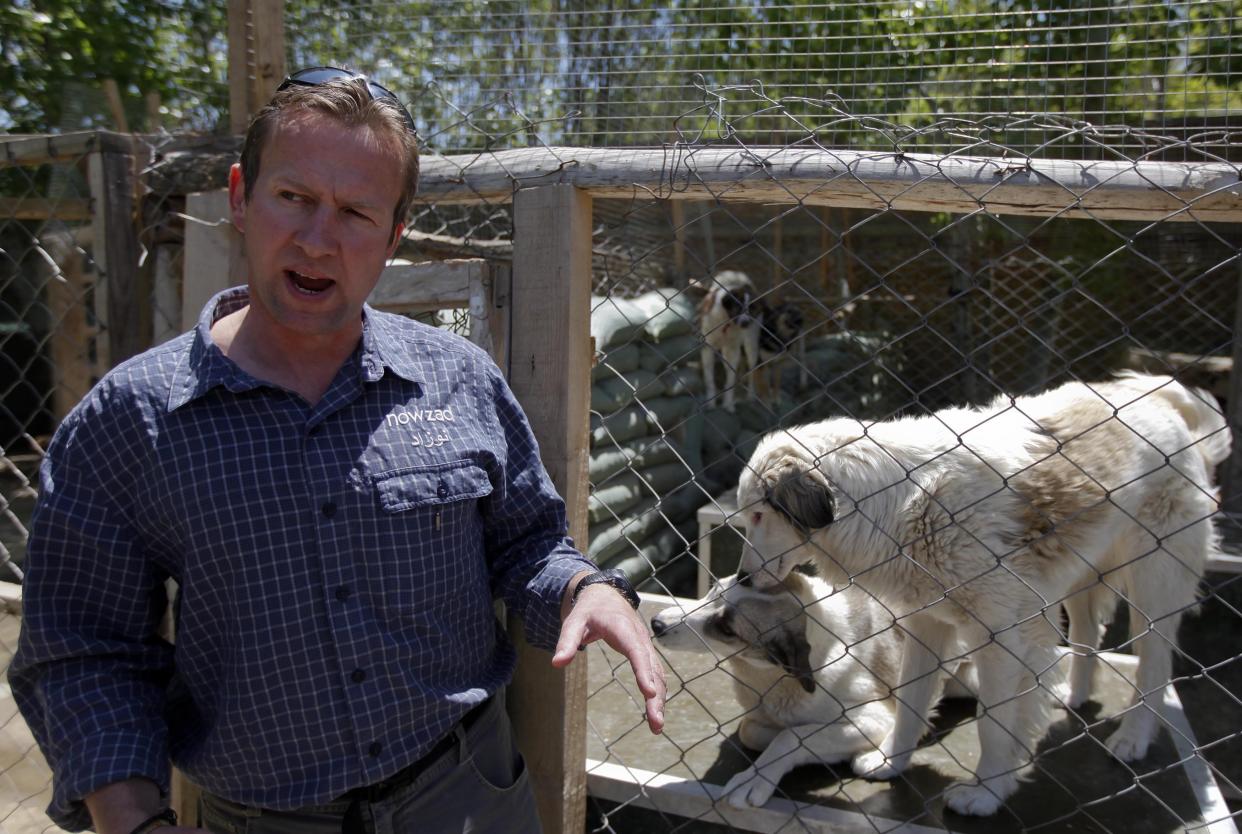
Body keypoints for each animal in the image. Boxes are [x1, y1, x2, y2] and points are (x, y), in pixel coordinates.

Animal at [650, 574, 968, 810]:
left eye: (726, 629)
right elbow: (752, 730)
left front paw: (756, 776)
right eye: (713, 590)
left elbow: (791, 737)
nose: (656, 624)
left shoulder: (876, 718)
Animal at [730, 375, 1227, 820]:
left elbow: (993, 724)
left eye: (758, 515)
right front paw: (892, 761)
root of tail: (1164, 403)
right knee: (1089, 630)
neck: (895, 504)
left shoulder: (1001, 638)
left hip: (1154, 582)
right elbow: (910, 701)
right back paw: (1074, 694)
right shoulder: (925, 624)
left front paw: (986, 793)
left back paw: (1133, 737)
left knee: (1154, 663)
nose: (743, 578)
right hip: (1079, 576)